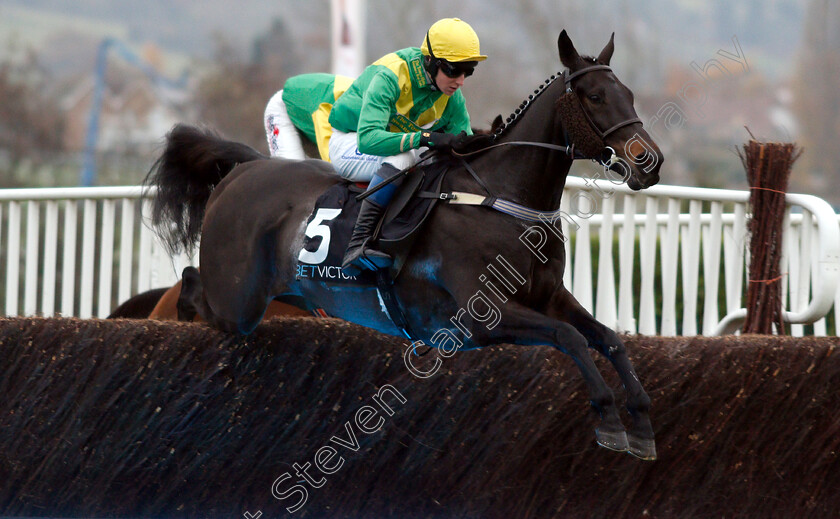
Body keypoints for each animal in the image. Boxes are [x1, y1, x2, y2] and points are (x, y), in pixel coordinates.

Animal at [148, 31, 668, 460]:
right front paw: (608, 417)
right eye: (596, 97)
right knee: (192, 286)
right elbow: (571, 337)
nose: (650, 161)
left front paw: (642, 420)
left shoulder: (549, 296)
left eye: (629, 95)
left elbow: (607, 337)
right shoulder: (482, 318)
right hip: (237, 302)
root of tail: (242, 170)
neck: (501, 197)